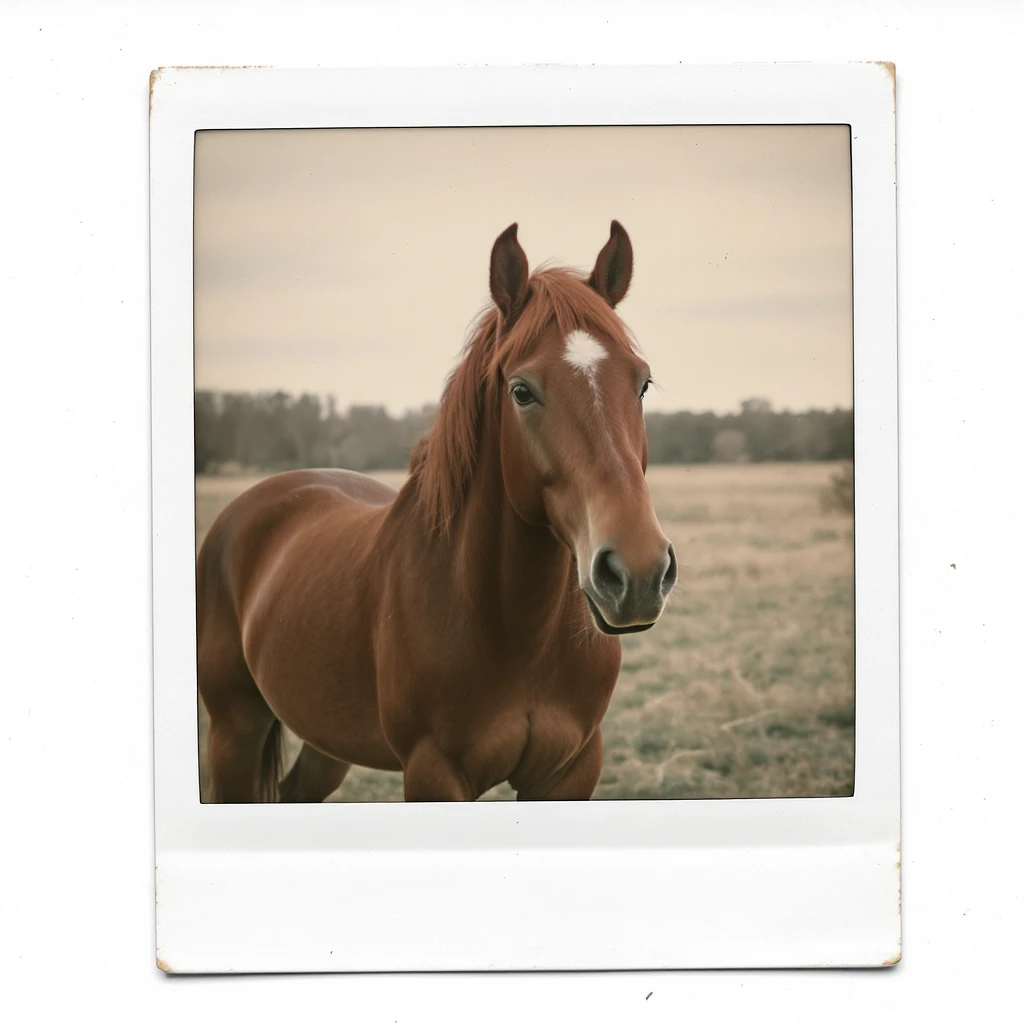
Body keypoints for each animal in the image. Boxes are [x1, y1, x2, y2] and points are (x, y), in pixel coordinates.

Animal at [196, 221, 677, 802]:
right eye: (521, 391)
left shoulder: (571, 770)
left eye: (642, 383)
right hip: (234, 730)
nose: (639, 572)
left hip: (325, 739)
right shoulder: (434, 772)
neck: (511, 626)